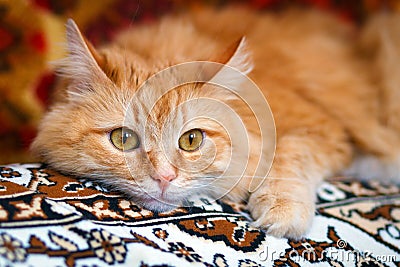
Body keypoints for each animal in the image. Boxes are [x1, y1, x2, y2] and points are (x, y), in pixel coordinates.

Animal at [30, 5, 400, 241]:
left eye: (191, 140)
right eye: (123, 139)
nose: (164, 178)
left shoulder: (323, 127)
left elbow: (289, 154)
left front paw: (283, 212)